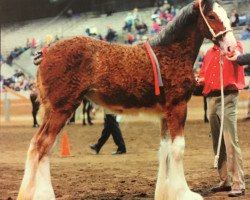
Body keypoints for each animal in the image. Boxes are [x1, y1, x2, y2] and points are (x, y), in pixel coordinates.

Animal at [17, 0, 236, 199]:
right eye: (212, 16)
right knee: (41, 145)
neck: (170, 53)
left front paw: (165, 193)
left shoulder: (165, 114)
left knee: (44, 148)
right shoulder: (178, 107)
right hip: (61, 109)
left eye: (227, 14)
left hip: (54, 110)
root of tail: (46, 52)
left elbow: (165, 150)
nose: (232, 47)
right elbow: (177, 149)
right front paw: (184, 193)